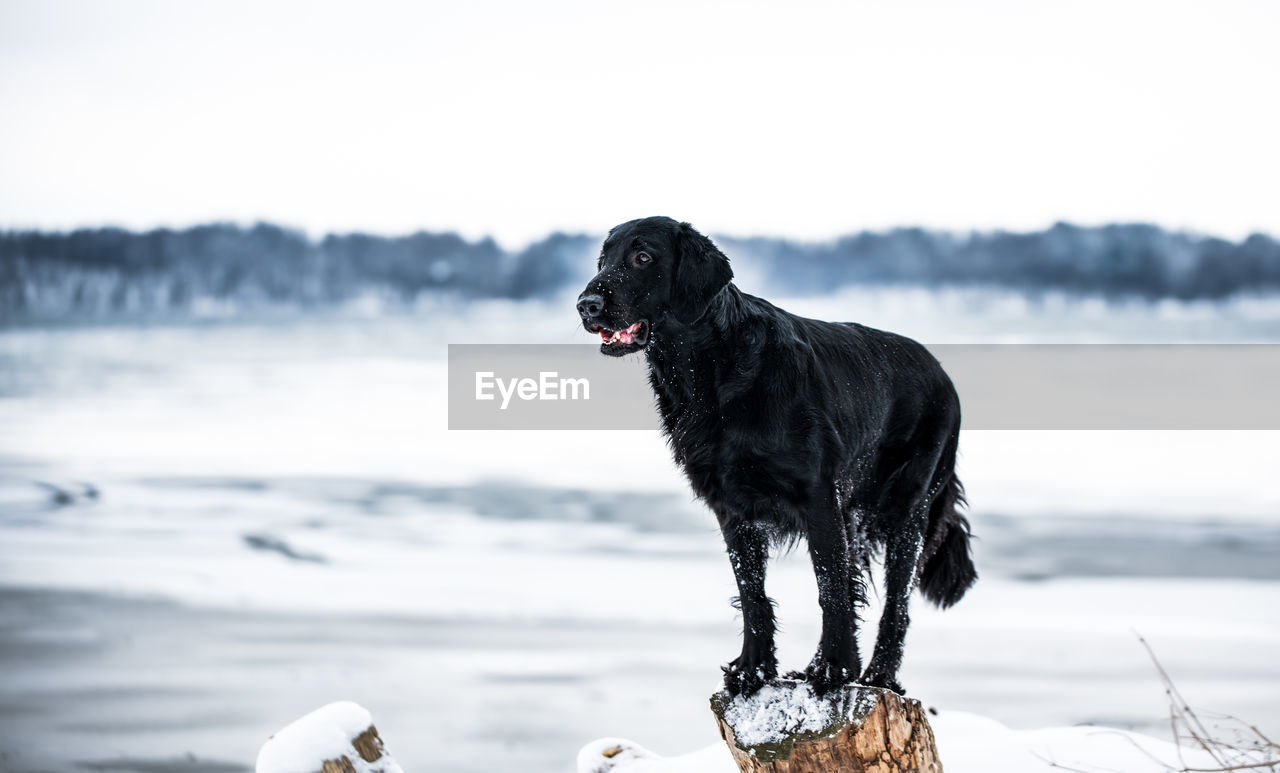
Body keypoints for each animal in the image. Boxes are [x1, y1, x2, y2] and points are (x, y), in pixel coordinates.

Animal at [576, 216, 972, 696]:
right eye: (603, 260)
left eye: (642, 256)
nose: (586, 305)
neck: (711, 374)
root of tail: (942, 372)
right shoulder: (732, 509)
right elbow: (753, 595)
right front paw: (754, 669)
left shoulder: (819, 497)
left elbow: (830, 588)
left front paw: (835, 670)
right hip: (857, 518)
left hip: (906, 512)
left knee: (896, 603)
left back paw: (879, 675)